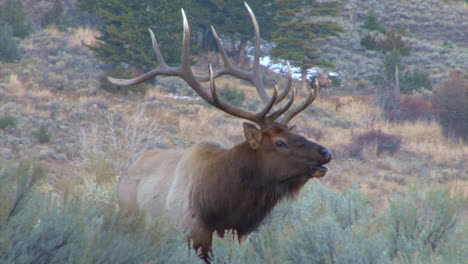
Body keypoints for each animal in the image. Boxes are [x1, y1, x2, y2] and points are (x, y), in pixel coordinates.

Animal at [109, 2, 332, 262]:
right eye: (279, 142)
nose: (325, 152)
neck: (221, 210)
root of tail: (125, 175)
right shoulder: (193, 236)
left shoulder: (241, 238)